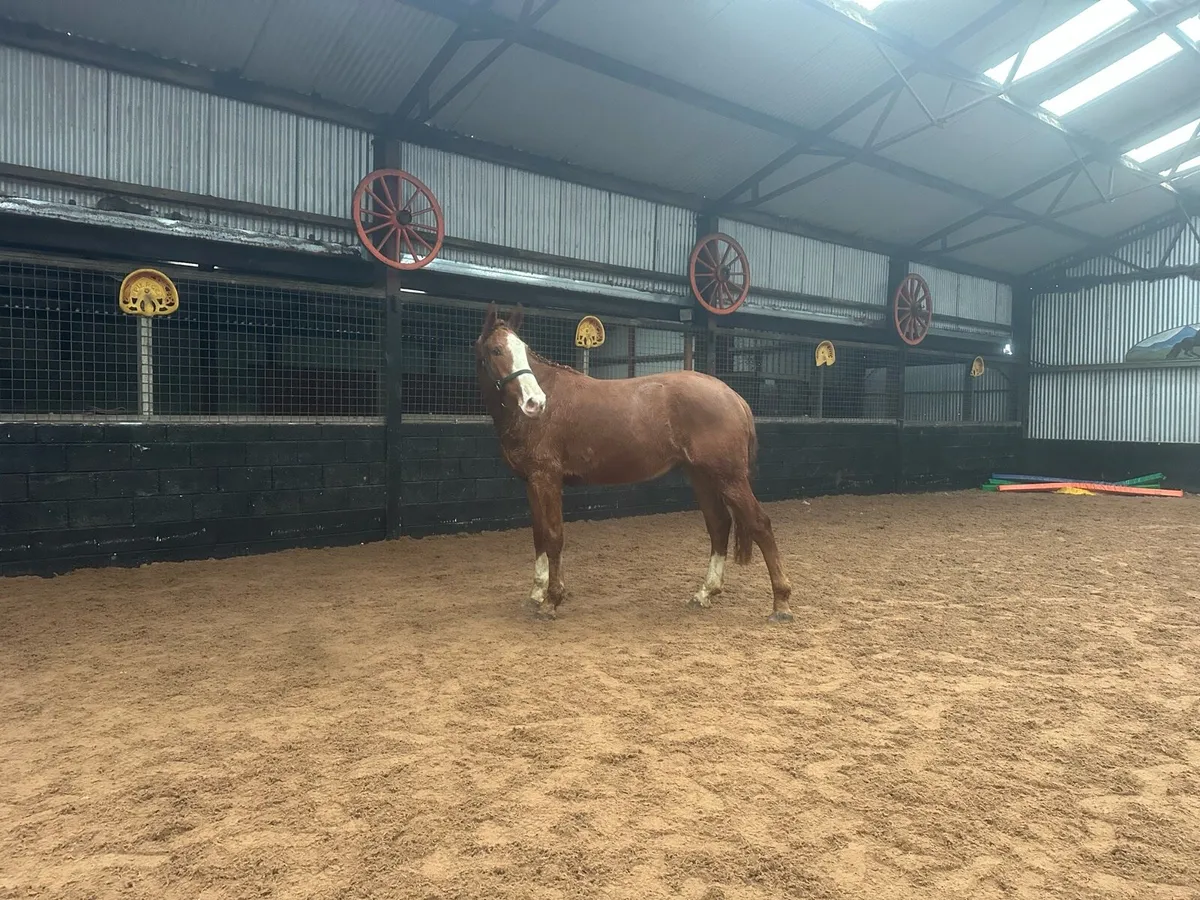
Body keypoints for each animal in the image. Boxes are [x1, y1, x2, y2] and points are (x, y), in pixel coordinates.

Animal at [473, 303, 794, 623]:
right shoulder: (531, 481)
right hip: (702, 476)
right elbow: (539, 534)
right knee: (719, 524)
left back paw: (781, 604)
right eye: (497, 350)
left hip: (729, 478)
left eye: (524, 350)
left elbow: (553, 536)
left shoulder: (547, 478)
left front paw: (552, 600)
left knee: (760, 525)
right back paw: (705, 593)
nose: (535, 403)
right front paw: (537, 594)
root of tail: (733, 396)